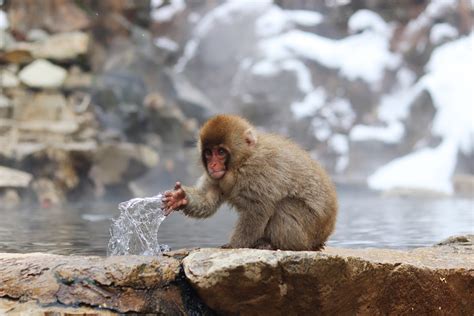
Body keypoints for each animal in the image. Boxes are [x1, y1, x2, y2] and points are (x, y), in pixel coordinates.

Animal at [163, 115, 336, 251]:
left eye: (220, 152)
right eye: (208, 153)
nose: (213, 165)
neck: (242, 160)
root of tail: (325, 233)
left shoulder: (256, 171)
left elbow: (257, 209)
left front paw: (234, 245)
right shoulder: (215, 177)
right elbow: (207, 201)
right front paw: (179, 197)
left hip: (309, 229)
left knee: (284, 206)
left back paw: (277, 245)